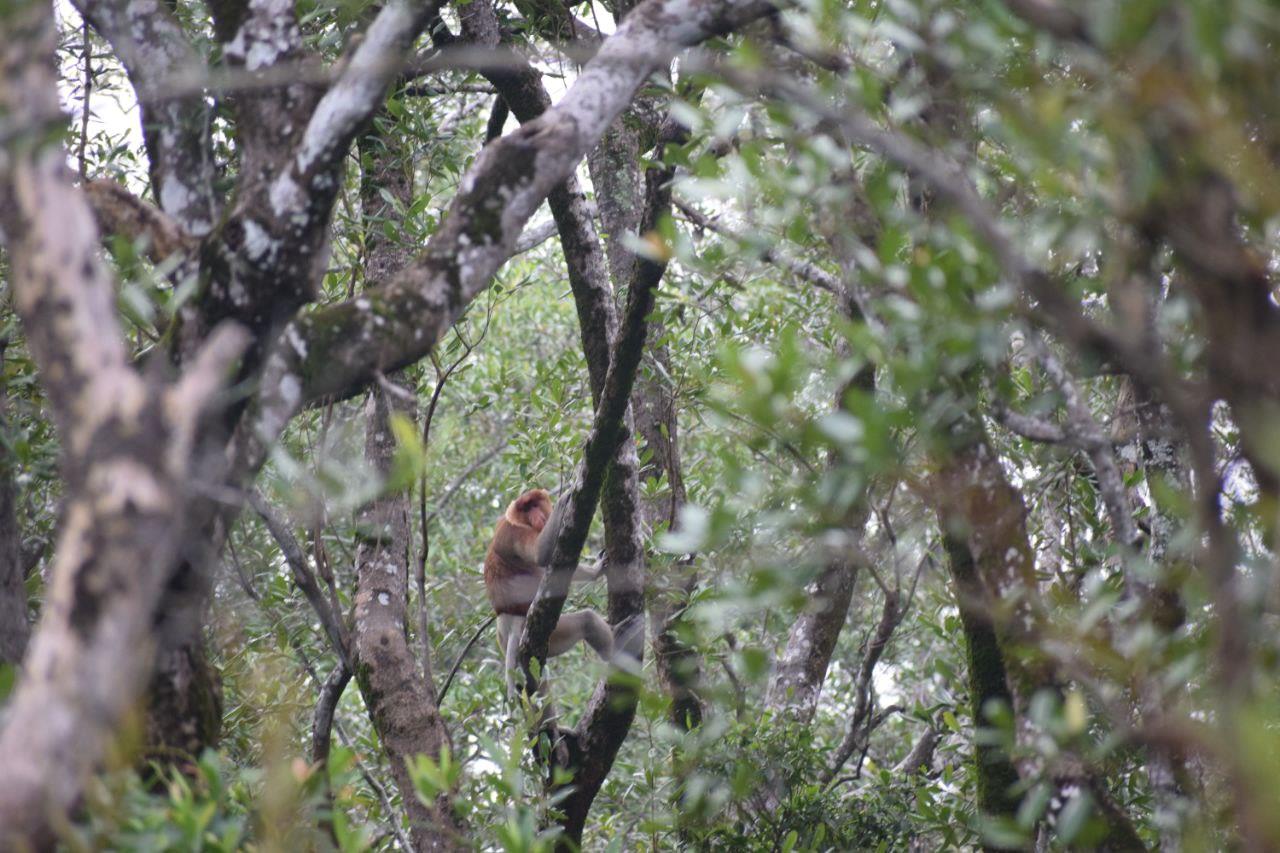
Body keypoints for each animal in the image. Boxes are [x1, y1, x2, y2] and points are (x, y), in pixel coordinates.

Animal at [483, 489, 614, 696]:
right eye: (526, 508)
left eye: (535, 504)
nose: (536, 516)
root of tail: (510, 617)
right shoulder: (514, 532)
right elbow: (540, 555)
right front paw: (564, 499)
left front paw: (597, 569)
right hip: (548, 633)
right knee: (587, 620)